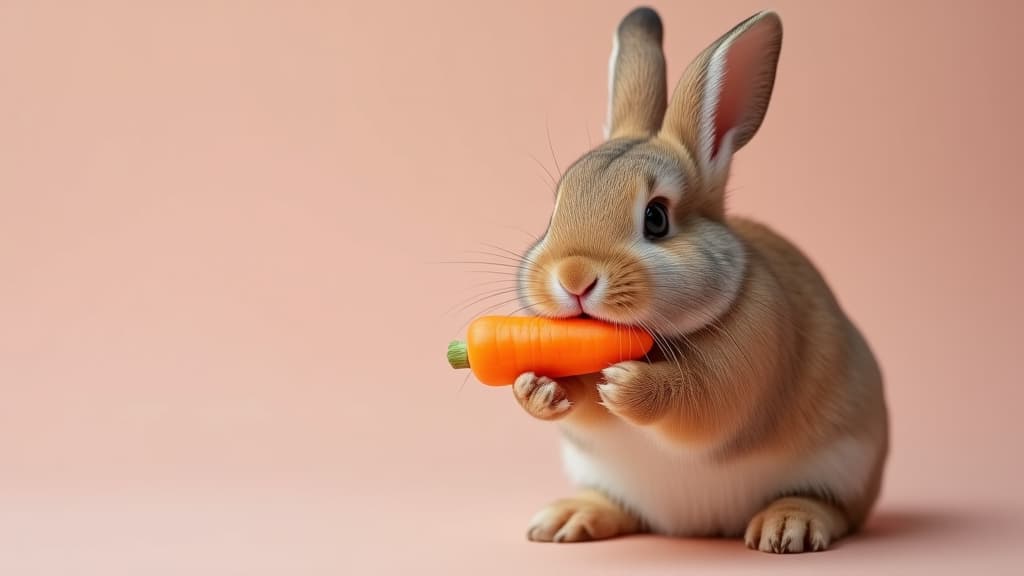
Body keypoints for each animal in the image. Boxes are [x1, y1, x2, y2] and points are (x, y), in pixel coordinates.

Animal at [512, 5, 888, 553]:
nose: (574, 276)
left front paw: (626, 385)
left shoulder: (746, 364)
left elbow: (698, 403)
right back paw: (567, 518)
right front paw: (535, 388)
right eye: (556, 209)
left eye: (656, 218)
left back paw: (786, 528)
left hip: (846, 467)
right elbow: (582, 405)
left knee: (834, 510)